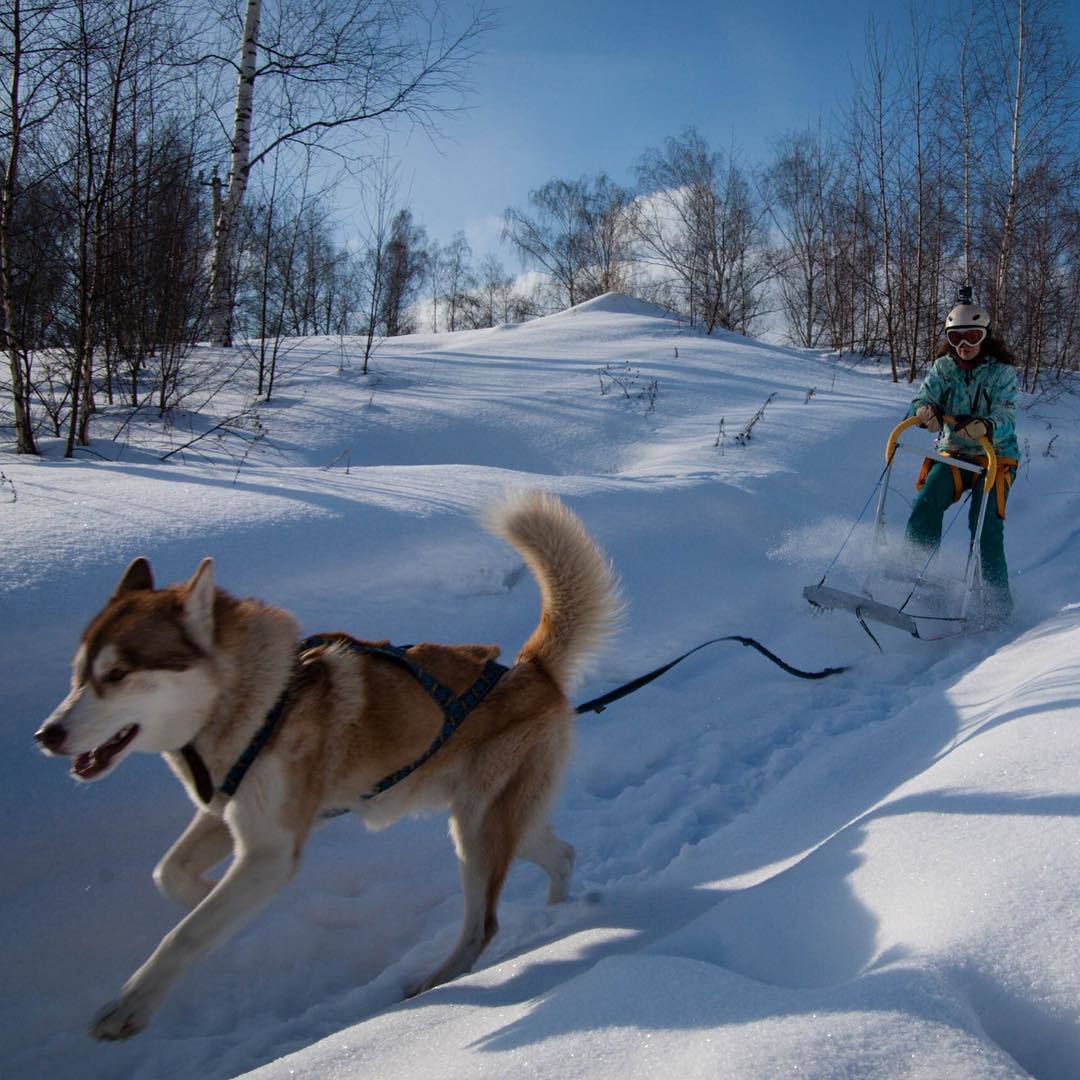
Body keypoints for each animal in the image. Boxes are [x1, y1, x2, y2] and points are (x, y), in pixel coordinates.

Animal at [38, 494, 622, 1041]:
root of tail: (530, 669)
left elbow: (186, 933)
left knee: (484, 924)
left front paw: (129, 1006)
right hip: (495, 821)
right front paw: (207, 897)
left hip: (477, 831)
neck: (255, 701)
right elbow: (171, 874)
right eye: (77, 673)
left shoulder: (271, 849)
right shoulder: (228, 816)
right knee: (561, 855)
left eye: (117, 673)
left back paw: (437, 982)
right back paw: (556, 917)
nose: (47, 735)